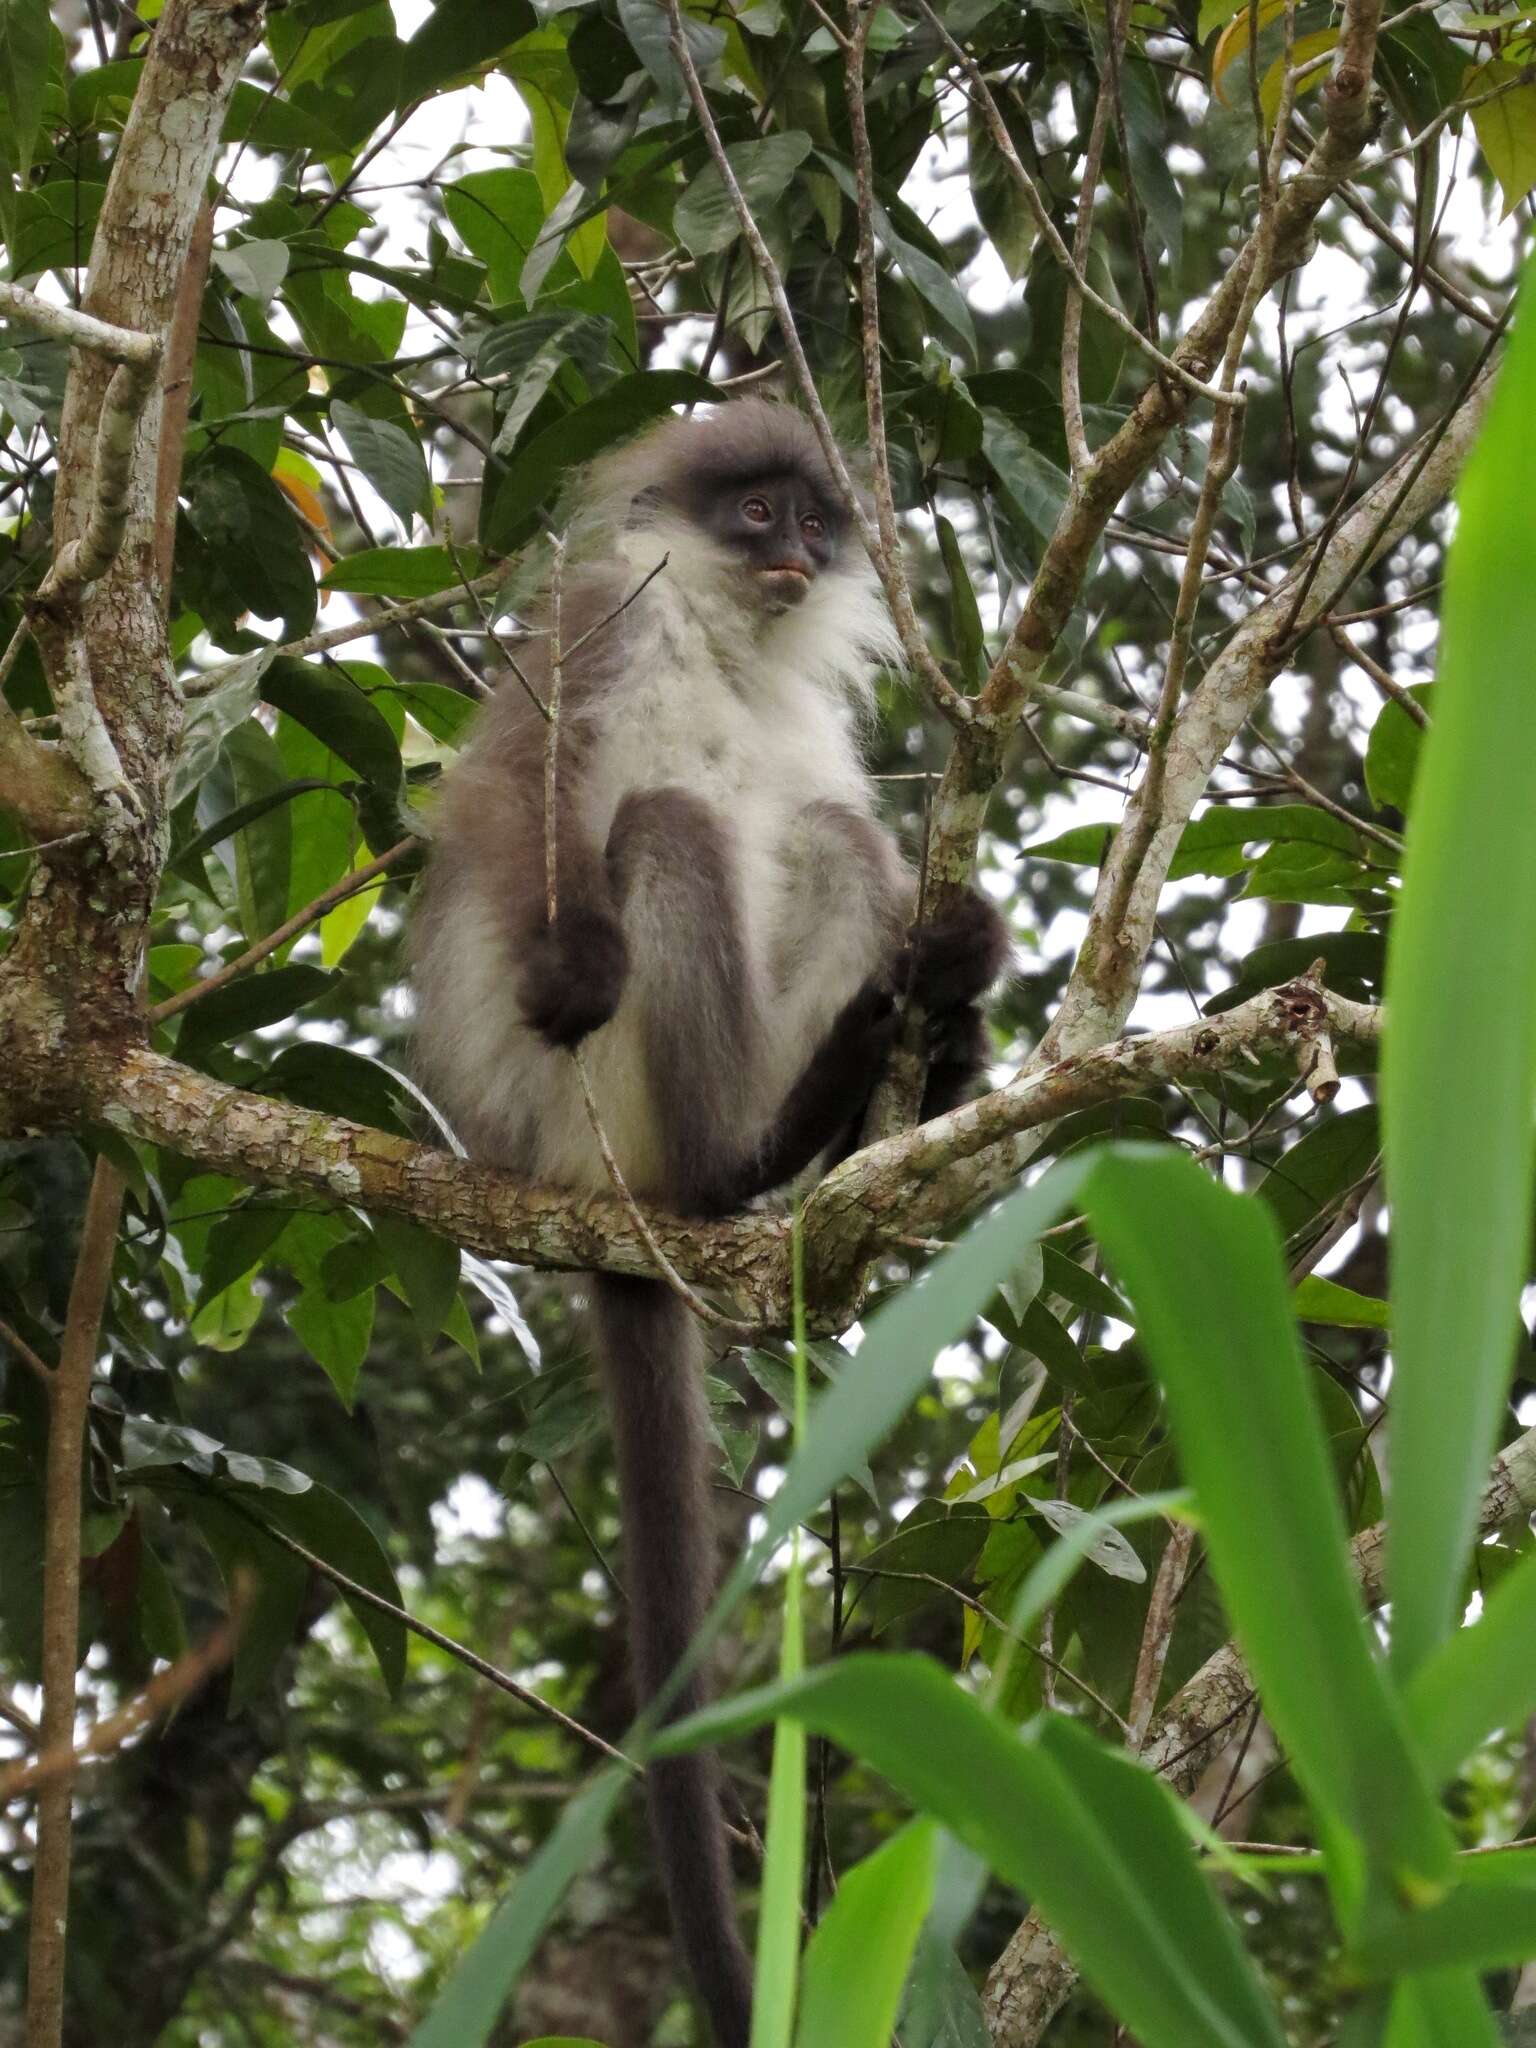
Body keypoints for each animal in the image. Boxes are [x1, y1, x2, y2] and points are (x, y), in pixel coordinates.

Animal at [409, 399, 1011, 2048]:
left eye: (810, 519)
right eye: (753, 514)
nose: (797, 552)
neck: (736, 644)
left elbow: (848, 824)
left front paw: (959, 976)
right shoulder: (596, 631)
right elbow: (522, 794)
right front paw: (563, 963)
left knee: (826, 838)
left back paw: (874, 1084)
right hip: (581, 1113)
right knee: (670, 826)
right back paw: (742, 1169)